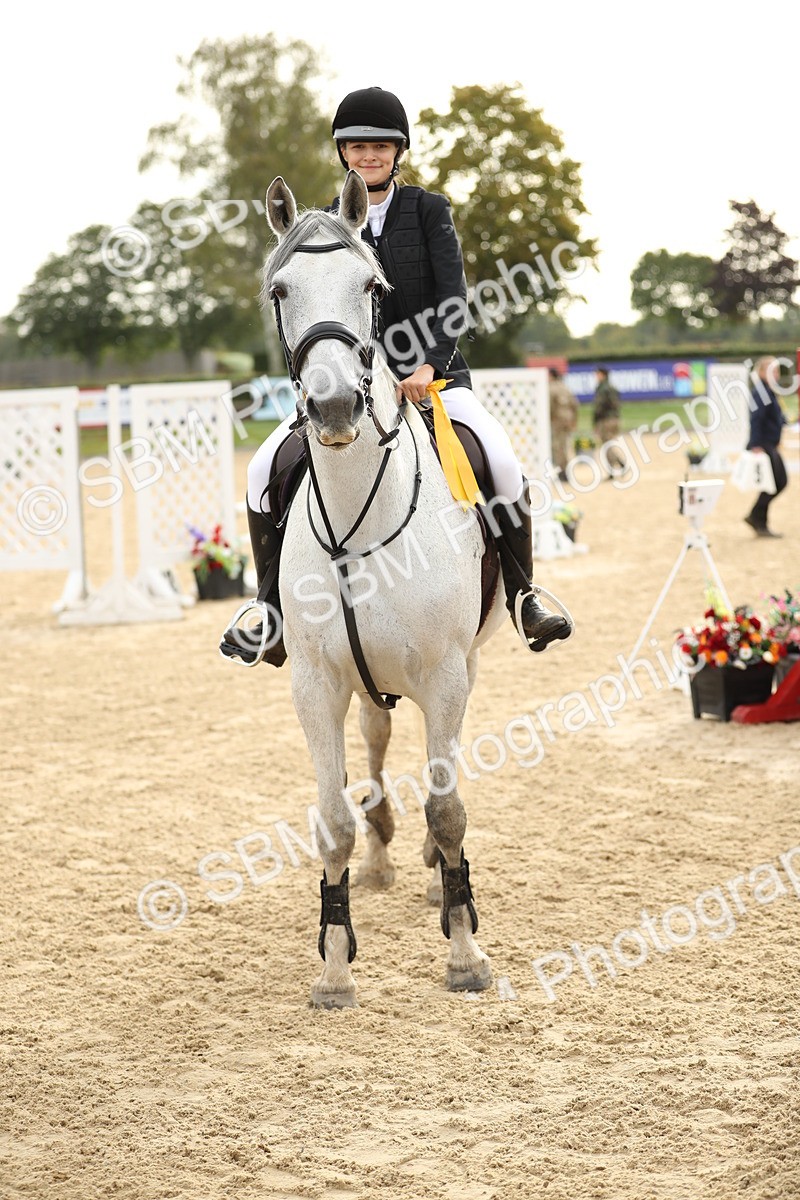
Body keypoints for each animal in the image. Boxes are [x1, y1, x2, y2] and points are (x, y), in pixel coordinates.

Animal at [263, 170, 508, 1008]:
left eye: (371, 287)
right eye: (280, 290)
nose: (336, 407)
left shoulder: (443, 673)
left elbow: (451, 807)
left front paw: (465, 954)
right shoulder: (313, 682)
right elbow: (332, 816)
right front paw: (335, 965)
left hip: (467, 662)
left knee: (446, 765)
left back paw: (435, 876)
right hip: (366, 679)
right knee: (373, 741)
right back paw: (380, 858)